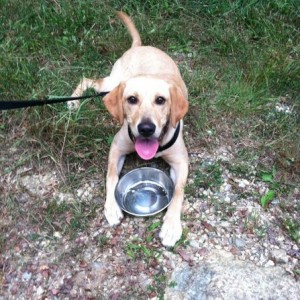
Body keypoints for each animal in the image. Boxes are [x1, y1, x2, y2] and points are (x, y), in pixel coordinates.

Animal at [70, 11, 188, 246]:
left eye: (161, 100)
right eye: (132, 99)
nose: (146, 128)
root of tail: (140, 46)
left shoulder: (181, 161)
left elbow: (178, 191)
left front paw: (171, 226)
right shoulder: (116, 147)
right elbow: (111, 176)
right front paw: (112, 207)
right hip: (110, 85)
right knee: (88, 79)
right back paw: (72, 101)